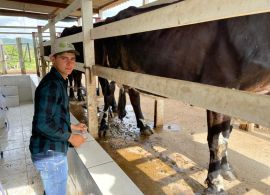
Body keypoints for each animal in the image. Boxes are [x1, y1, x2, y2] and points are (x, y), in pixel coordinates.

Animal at [93, 1, 270, 195]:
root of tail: (113, 17)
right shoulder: (218, 87)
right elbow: (217, 140)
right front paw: (215, 182)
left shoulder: (237, 97)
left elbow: (227, 134)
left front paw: (226, 170)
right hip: (110, 66)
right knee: (108, 93)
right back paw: (103, 127)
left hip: (131, 70)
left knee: (133, 94)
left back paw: (143, 126)